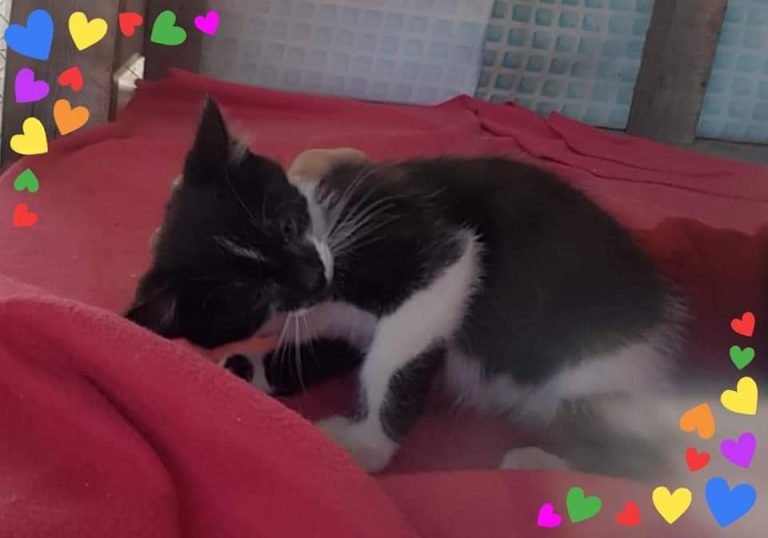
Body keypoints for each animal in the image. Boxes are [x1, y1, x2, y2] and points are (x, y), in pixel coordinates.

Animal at [126, 98, 687, 477]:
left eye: (286, 226)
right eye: (252, 295)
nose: (313, 277)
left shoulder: (439, 251)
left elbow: (392, 357)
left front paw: (366, 443)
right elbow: (333, 347)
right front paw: (249, 368)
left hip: (603, 381)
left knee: (649, 460)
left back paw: (541, 465)